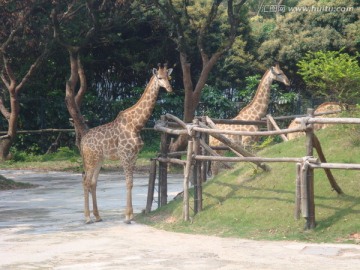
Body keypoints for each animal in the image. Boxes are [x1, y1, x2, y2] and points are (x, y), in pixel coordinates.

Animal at [80, 63, 173, 224]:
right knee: (86, 182)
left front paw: (130, 215)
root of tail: (82, 141)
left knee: (93, 182)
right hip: (91, 159)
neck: (136, 125)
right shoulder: (124, 155)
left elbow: (132, 182)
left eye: (169, 77)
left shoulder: (134, 156)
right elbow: (128, 183)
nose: (169, 88)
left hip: (98, 160)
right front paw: (127, 217)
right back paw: (87, 218)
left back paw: (98, 216)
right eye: (160, 78)